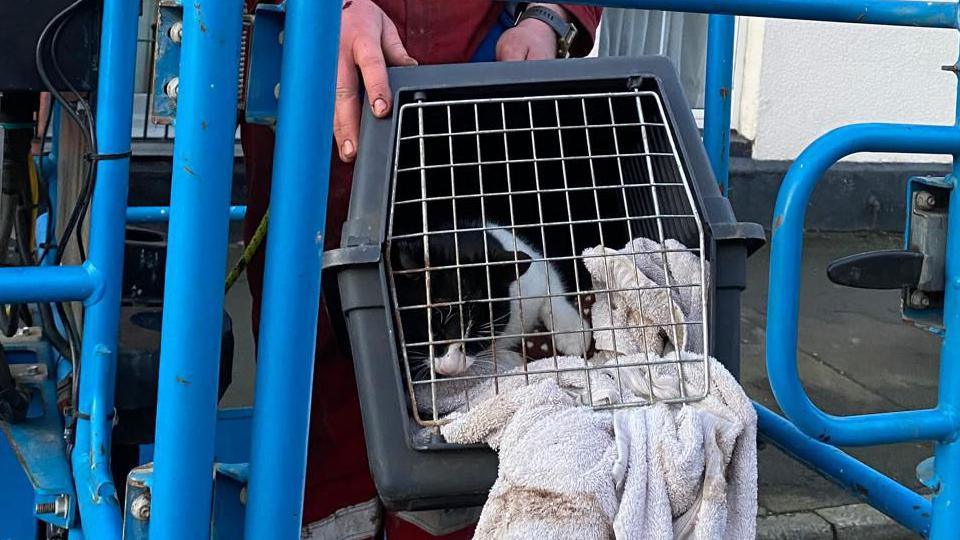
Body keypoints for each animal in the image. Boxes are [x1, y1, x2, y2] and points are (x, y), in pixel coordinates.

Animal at [392, 218, 588, 376]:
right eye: (433, 331)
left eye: (478, 333)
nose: (450, 368)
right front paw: (509, 359)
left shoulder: (536, 274)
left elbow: (552, 290)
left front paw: (573, 334)